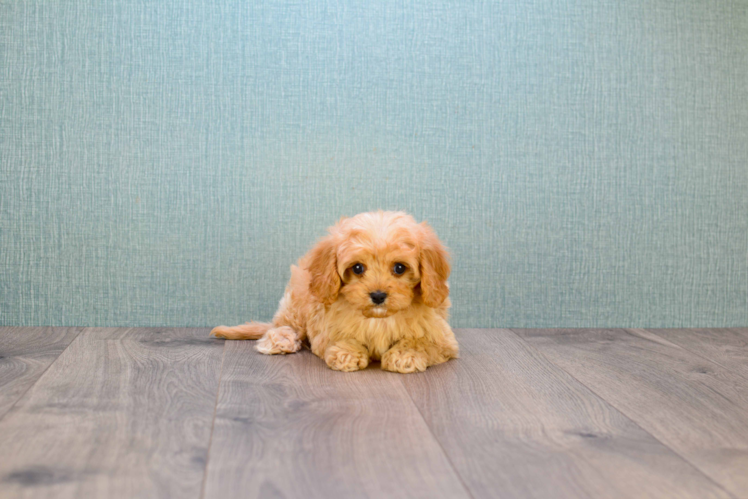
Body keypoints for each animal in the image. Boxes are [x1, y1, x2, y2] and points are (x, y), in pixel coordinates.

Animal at [207, 210, 458, 372]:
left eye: (399, 268)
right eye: (357, 268)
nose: (377, 295)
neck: (378, 319)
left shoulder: (443, 338)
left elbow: (420, 341)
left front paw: (405, 355)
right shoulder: (323, 328)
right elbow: (340, 338)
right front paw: (347, 353)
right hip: (297, 300)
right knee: (282, 325)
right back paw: (281, 340)